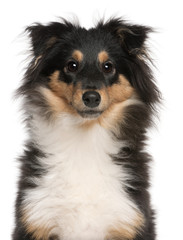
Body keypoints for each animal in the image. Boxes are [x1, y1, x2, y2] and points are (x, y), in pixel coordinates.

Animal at [12, 17, 159, 240]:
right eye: (71, 65)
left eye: (108, 67)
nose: (91, 98)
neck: (85, 140)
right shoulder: (36, 219)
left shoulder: (130, 219)